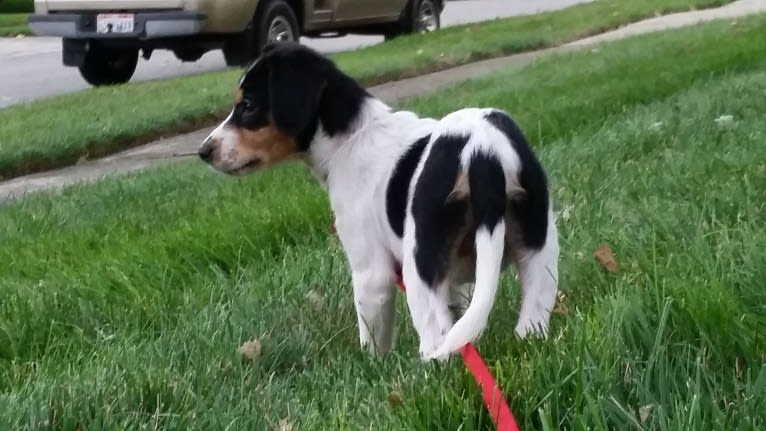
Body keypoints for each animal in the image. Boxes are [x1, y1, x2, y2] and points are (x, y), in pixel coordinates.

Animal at [196, 43, 560, 362]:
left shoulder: (372, 272)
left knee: (437, 338)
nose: (203, 151)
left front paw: (373, 365)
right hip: (539, 251)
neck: (350, 138)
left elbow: (371, 335)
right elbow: (461, 309)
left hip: (419, 266)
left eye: (248, 106)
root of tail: (481, 151)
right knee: (529, 320)